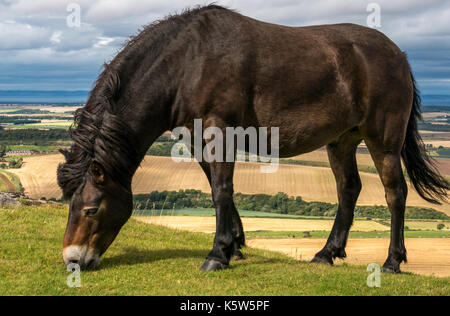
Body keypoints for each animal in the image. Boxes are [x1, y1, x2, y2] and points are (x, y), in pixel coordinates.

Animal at [58, 4, 448, 272]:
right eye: (70, 205)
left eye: (91, 208)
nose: (73, 260)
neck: (187, 61)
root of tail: (398, 55)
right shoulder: (198, 139)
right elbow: (219, 189)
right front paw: (234, 245)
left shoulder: (219, 131)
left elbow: (221, 190)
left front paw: (217, 254)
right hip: (341, 141)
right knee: (348, 190)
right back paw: (326, 253)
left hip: (383, 140)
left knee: (395, 193)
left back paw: (392, 261)